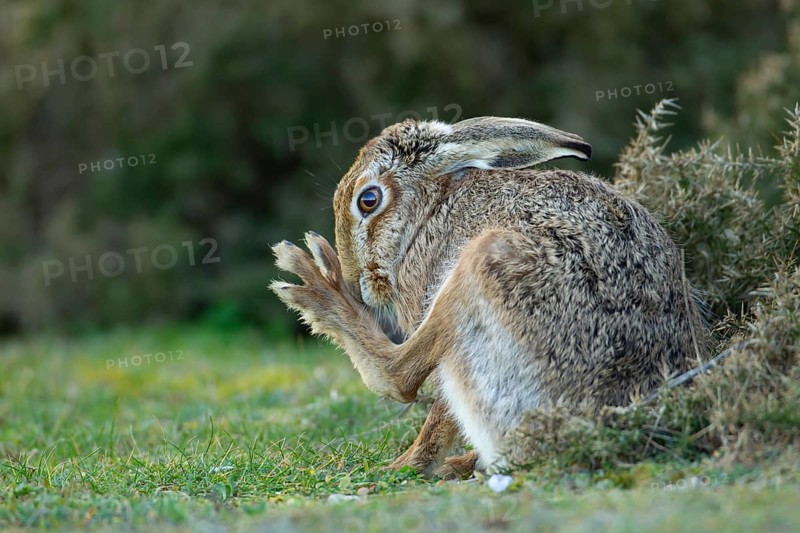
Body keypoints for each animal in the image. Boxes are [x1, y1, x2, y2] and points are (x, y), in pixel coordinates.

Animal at [270, 116, 706, 477]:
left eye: (368, 200)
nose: (355, 281)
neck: (425, 215)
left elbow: (434, 404)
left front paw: (411, 465)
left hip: (484, 265)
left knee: (398, 375)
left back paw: (316, 288)